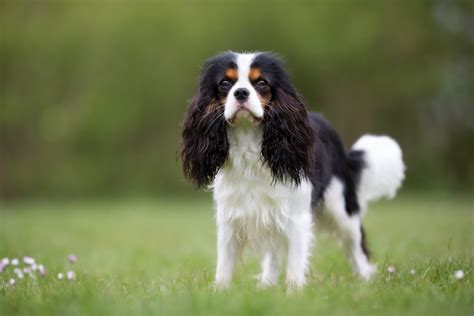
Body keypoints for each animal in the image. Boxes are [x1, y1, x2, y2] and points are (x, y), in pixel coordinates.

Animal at [180, 51, 406, 292]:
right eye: (224, 83)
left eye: (261, 83)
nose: (241, 92)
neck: (249, 140)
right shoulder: (230, 217)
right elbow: (225, 263)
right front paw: (220, 292)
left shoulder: (297, 216)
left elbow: (295, 261)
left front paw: (294, 293)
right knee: (274, 253)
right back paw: (267, 285)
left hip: (341, 209)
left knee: (356, 245)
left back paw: (365, 279)